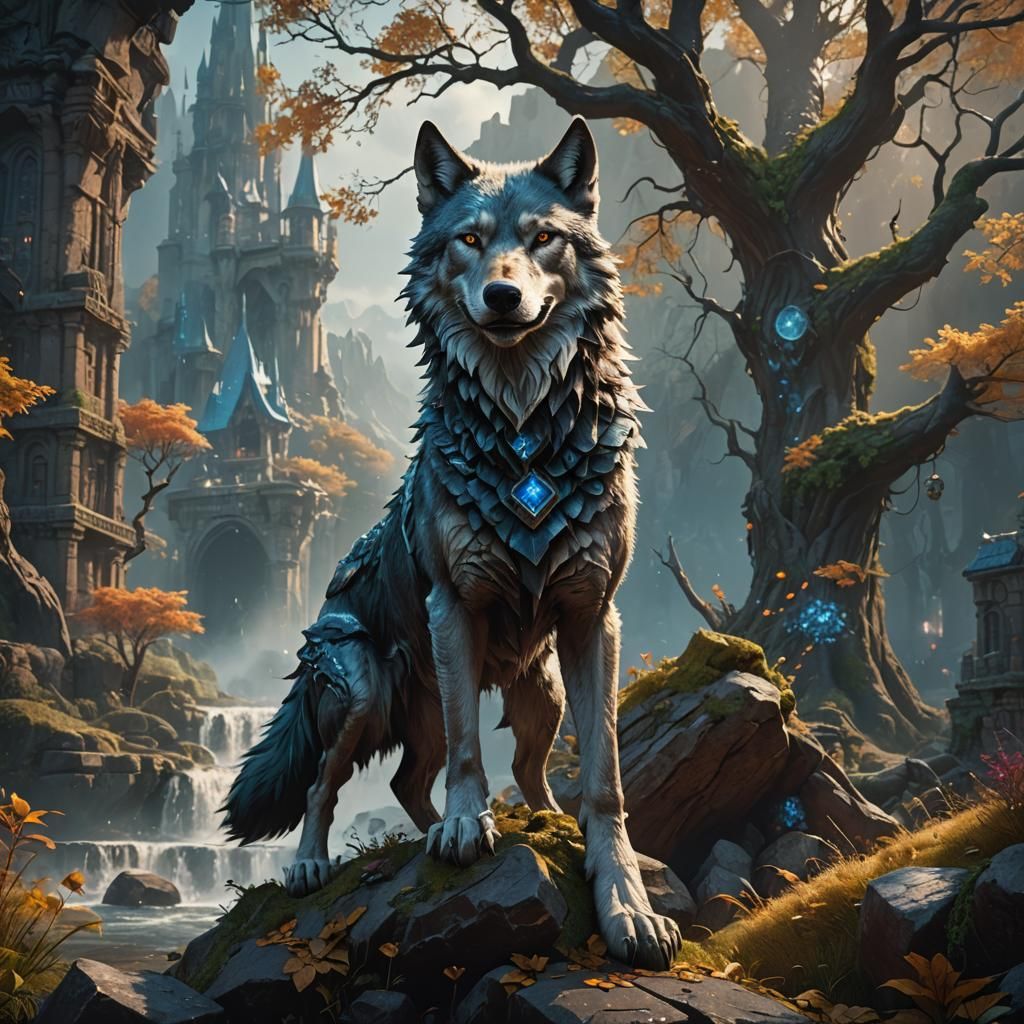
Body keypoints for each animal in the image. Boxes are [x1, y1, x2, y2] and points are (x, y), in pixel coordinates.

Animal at [223, 118, 683, 970]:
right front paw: (467, 825)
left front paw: (627, 905)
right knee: (326, 784)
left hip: (541, 693)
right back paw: (316, 862)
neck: (524, 430)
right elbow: (471, 750)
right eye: (469, 240)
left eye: (542, 238)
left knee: (479, 775)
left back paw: (536, 821)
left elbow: (605, 779)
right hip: (363, 690)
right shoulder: (452, 609)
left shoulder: (593, 618)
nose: (502, 295)